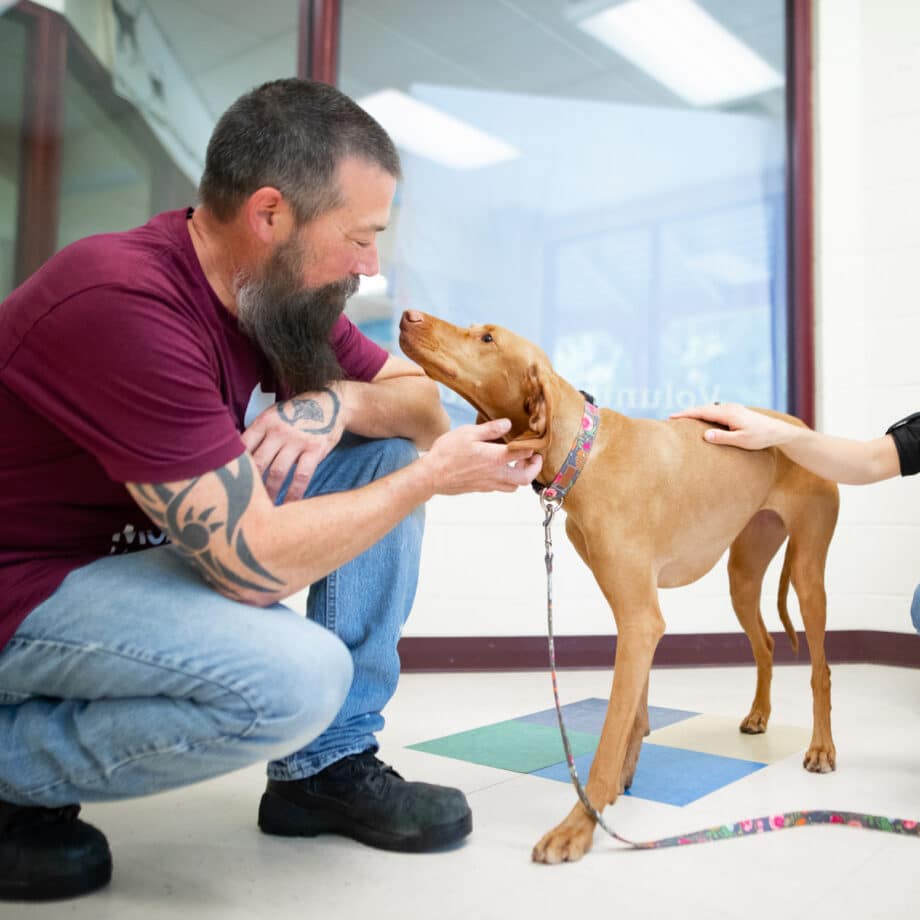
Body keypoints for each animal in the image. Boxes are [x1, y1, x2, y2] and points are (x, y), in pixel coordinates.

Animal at [398, 310, 836, 864]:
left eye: (488, 338)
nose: (407, 316)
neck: (585, 451)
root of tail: (801, 428)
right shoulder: (637, 619)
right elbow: (636, 715)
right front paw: (626, 777)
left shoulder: (640, 619)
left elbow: (608, 738)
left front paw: (579, 824)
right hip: (742, 574)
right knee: (765, 644)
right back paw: (759, 715)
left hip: (807, 577)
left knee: (820, 670)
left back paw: (822, 747)